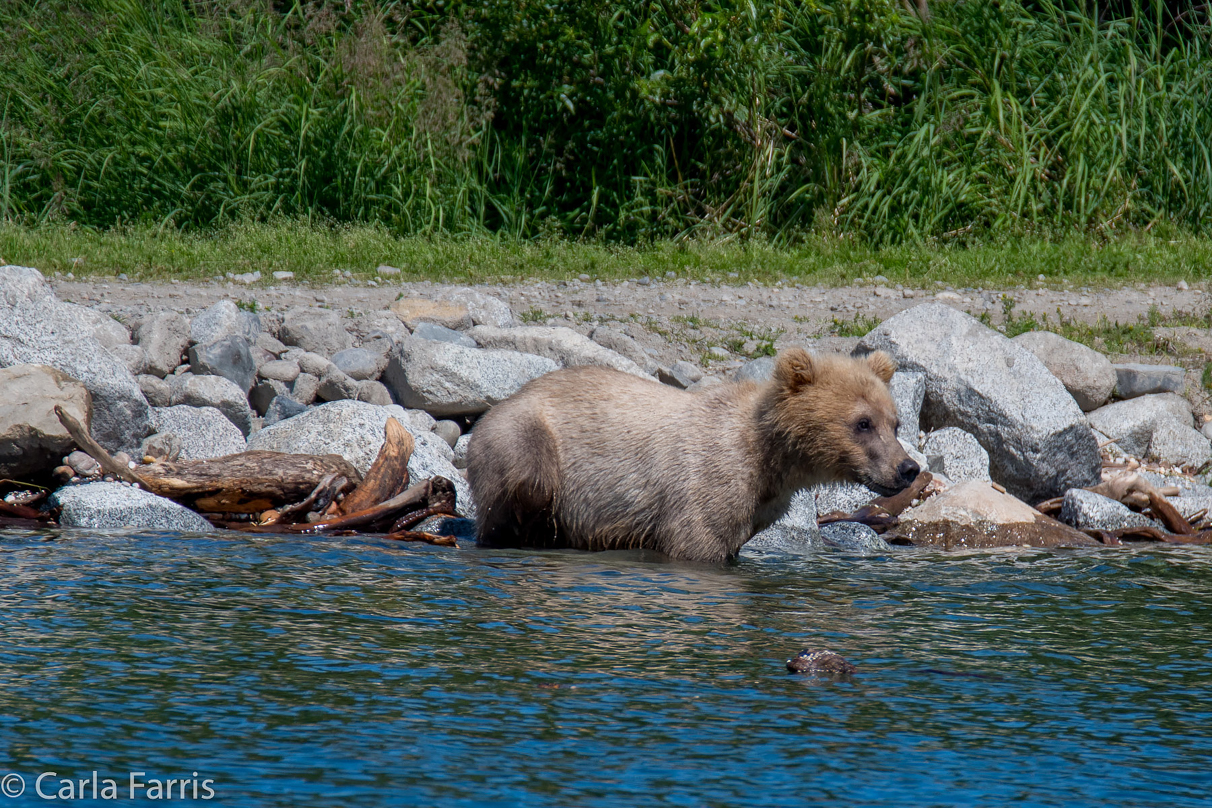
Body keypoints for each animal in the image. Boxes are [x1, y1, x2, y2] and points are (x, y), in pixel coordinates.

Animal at [465, 348, 916, 562]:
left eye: (895, 423)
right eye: (862, 423)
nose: (908, 468)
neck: (770, 458)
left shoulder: (759, 505)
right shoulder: (707, 482)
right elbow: (697, 542)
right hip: (524, 439)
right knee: (526, 489)